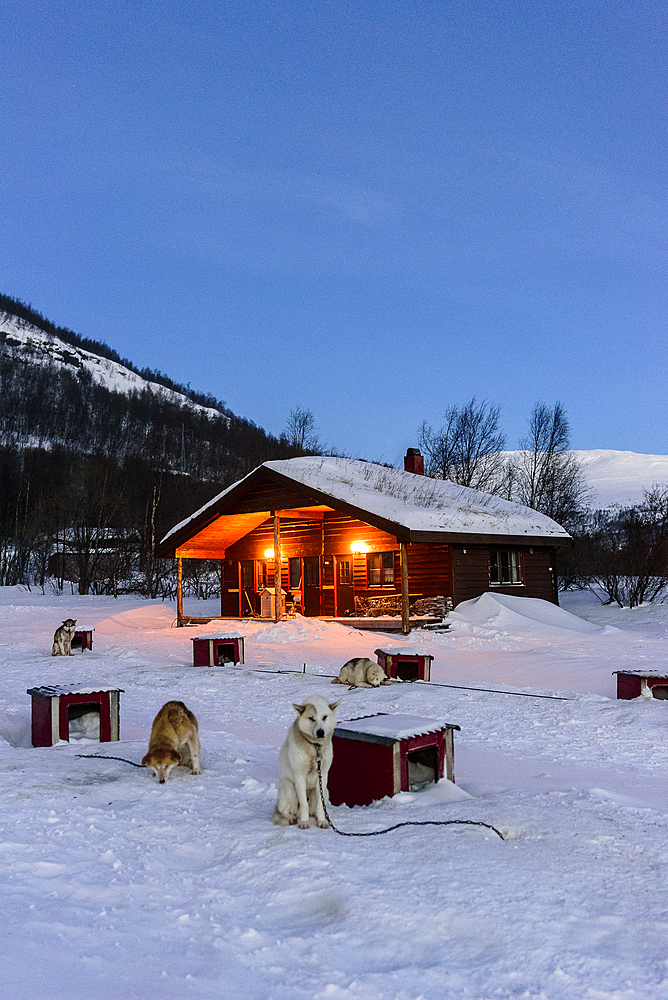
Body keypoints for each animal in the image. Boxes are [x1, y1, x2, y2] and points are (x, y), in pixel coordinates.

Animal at [272, 696, 340, 828]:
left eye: (325, 717)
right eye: (311, 718)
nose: (320, 732)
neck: (315, 747)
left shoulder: (322, 775)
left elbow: (320, 806)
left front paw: (322, 821)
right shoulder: (300, 776)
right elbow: (304, 804)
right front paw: (304, 822)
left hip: (325, 791)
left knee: (314, 810)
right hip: (289, 789)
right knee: (284, 811)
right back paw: (291, 817)